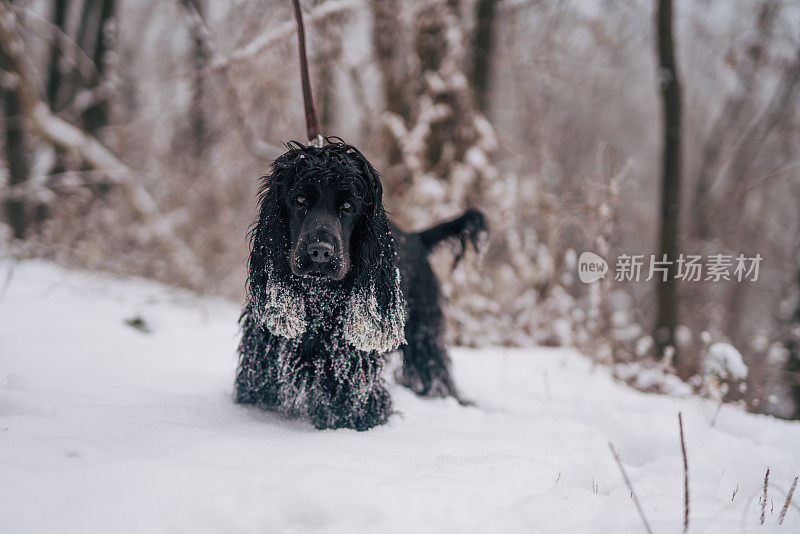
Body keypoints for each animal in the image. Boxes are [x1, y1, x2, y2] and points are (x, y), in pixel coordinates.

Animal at [234, 141, 484, 432]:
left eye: (347, 205)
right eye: (299, 201)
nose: (321, 252)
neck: (319, 303)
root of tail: (416, 238)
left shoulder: (359, 394)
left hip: (423, 334)